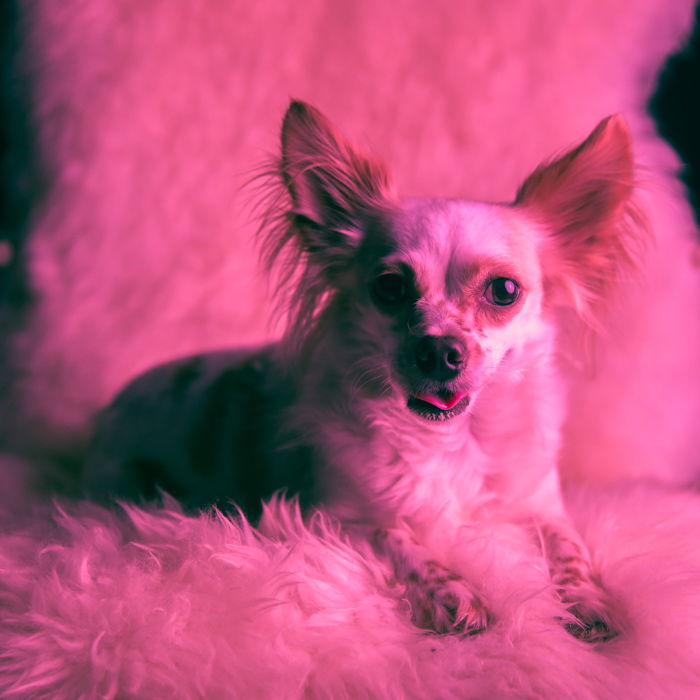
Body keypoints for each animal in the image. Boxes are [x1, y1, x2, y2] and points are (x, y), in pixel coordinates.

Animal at [85, 98, 644, 640]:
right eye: (390, 288)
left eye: (504, 291)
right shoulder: (336, 515)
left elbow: (569, 548)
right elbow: (399, 540)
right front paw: (454, 593)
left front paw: (589, 598)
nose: (438, 351)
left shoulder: (542, 505)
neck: (453, 441)